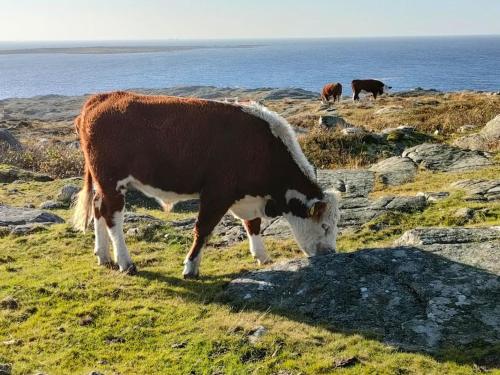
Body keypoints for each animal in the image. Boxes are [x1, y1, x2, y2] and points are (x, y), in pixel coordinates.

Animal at [73, 91, 340, 280]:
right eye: (325, 226)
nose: (331, 255)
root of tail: (103, 97)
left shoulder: (245, 196)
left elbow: (252, 224)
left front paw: (262, 257)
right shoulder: (217, 193)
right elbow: (203, 229)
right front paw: (190, 268)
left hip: (102, 182)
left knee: (97, 207)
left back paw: (103, 255)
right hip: (112, 181)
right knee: (112, 216)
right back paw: (125, 262)